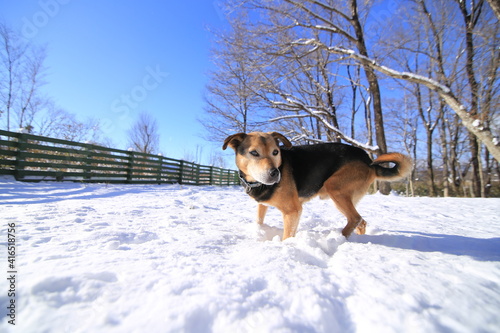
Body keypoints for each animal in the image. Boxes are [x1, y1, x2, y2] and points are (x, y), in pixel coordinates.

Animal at [225, 131, 412, 240]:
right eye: (254, 153)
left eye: (275, 152)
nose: (275, 173)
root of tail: (369, 160)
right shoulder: (262, 205)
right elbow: (259, 219)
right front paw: (258, 231)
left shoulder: (293, 211)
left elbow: (287, 236)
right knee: (362, 222)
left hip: (335, 188)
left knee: (355, 218)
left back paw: (340, 238)